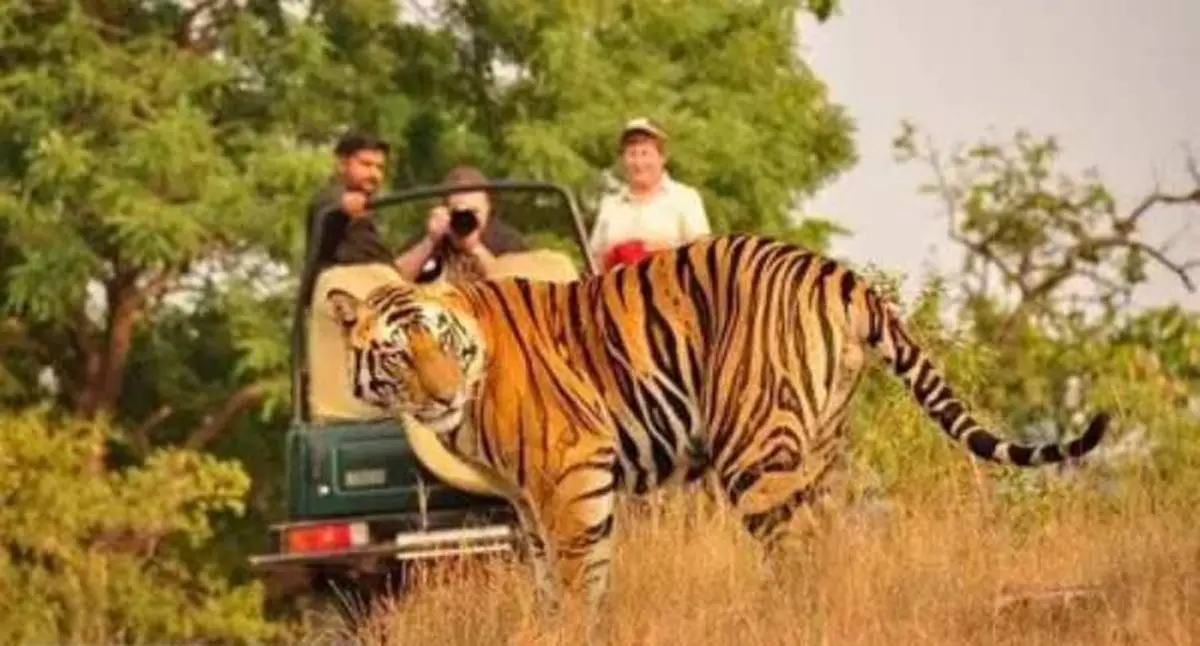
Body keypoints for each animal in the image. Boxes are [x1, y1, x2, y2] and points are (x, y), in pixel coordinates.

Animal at [324, 232, 1108, 624]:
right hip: (817, 446)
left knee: (798, 551)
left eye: (439, 341)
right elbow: (547, 580)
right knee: (830, 543)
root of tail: (835, 271)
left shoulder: (572, 472)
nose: (443, 395)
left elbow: (580, 576)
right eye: (398, 352)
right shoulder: (525, 499)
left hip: (754, 451)